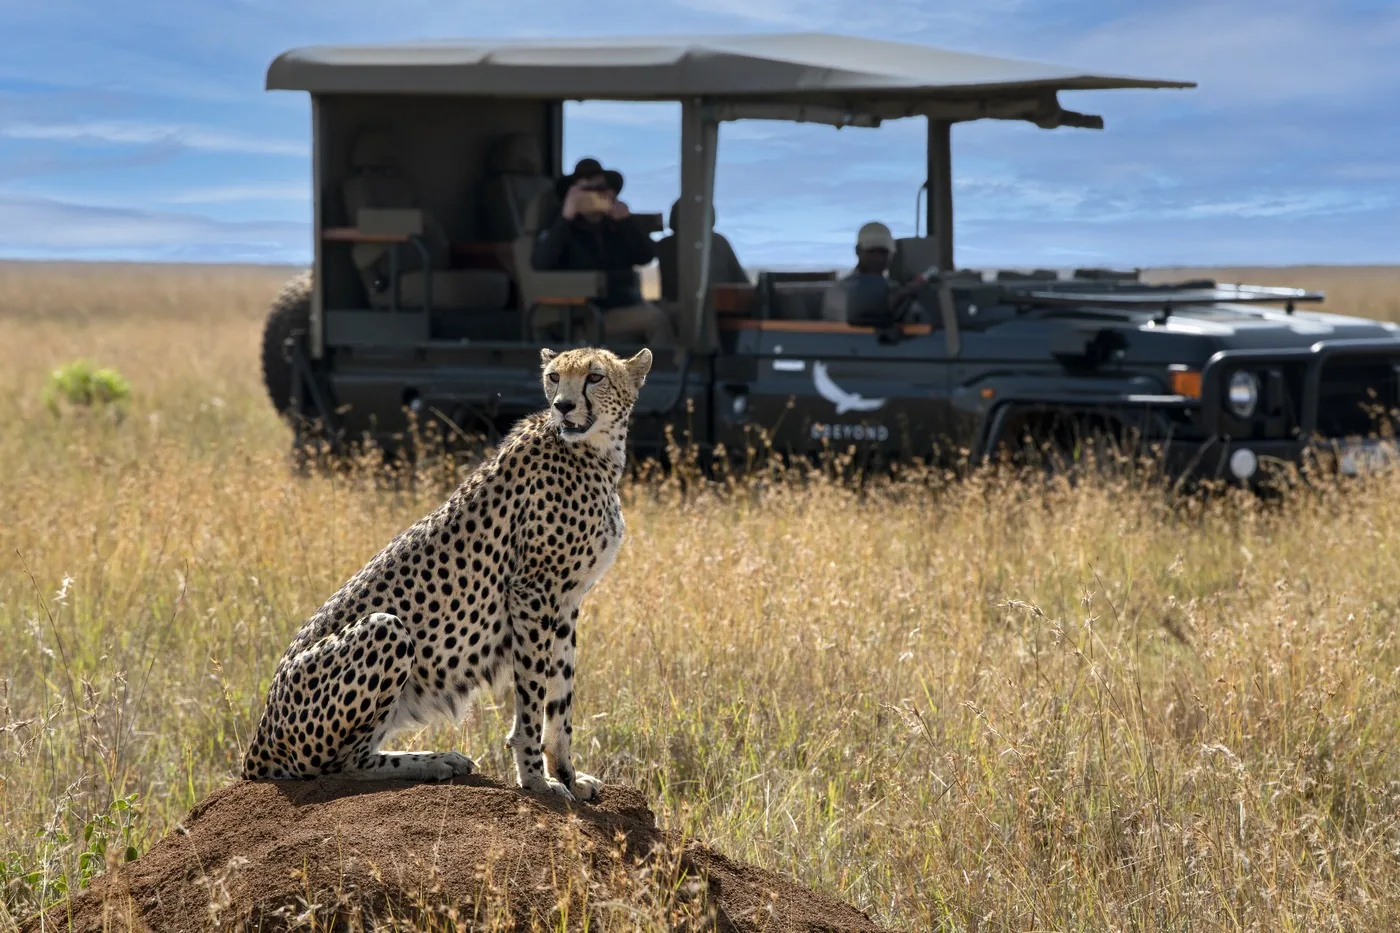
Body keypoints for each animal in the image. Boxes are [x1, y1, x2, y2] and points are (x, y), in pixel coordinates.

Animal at [241, 345, 653, 802]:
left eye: (595, 377)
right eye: (554, 376)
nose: (562, 405)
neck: (594, 450)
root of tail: (256, 743)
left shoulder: (565, 601)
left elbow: (560, 695)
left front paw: (567, 775)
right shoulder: (532, 592)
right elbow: (532, 695)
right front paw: (534, 780)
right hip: (385, 629)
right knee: (338, 765)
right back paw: (433, 761)